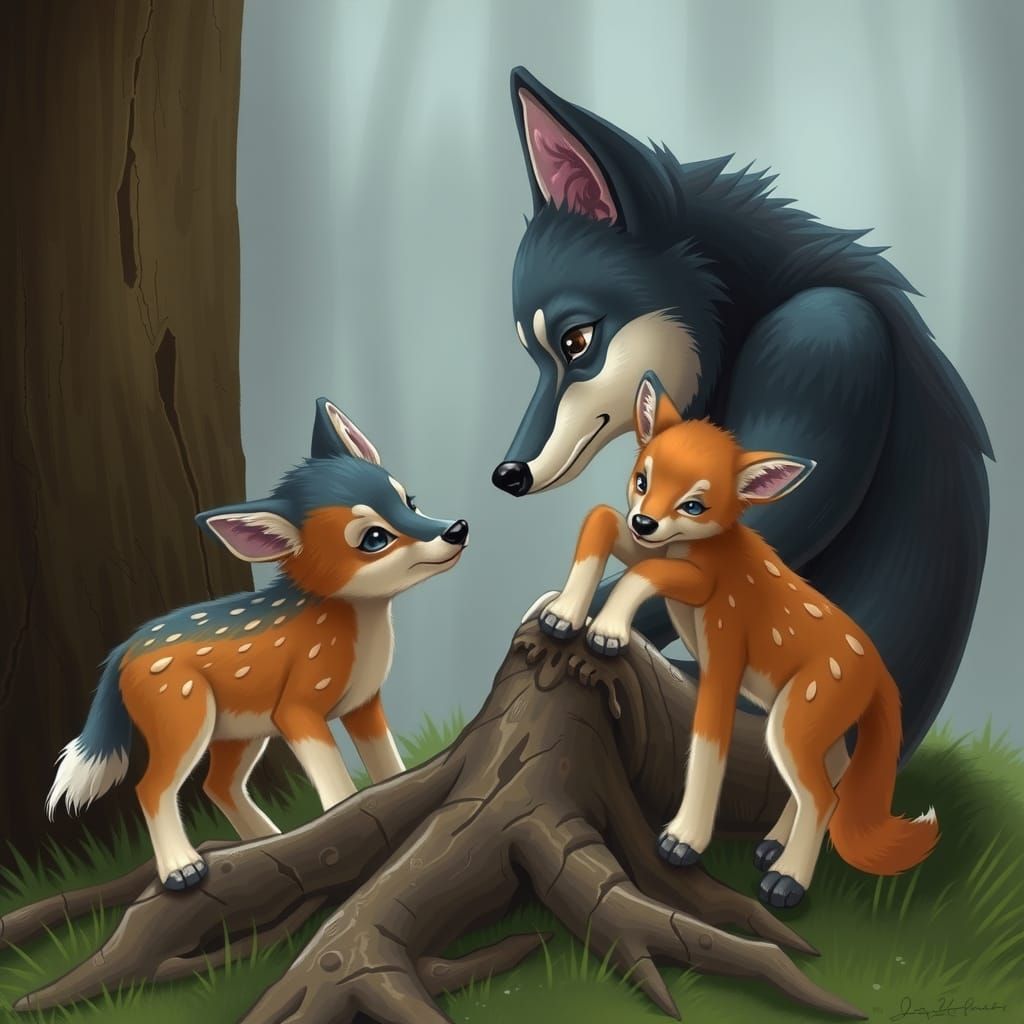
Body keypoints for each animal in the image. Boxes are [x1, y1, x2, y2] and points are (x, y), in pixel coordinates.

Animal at [47, 397, 468, 890]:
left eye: (409, 500)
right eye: (374, 538)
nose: (457, 528)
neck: (356, 641)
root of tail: (120, 651)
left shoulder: (363, 703)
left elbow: (389, 770)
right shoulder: (297, 708)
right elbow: (337, 784)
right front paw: (340, 830)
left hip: (237, 730)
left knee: (217, 785)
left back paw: (266, 839)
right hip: (182, 714)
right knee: (151, 787)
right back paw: (181, 867)